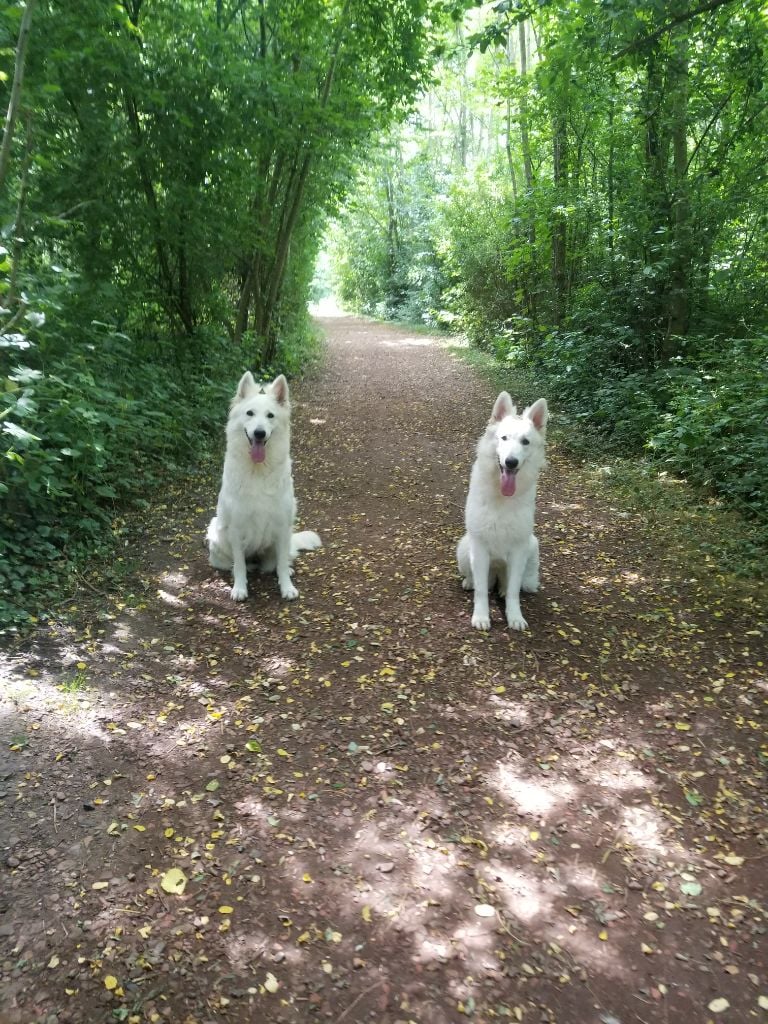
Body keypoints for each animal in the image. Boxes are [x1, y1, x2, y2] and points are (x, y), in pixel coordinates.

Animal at [207, 371, 321, 602]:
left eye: (270, 416)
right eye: (249, 413)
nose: (259, 433)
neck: (258, 471)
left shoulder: (282, 525)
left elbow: (281, 567)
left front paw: (287, 587)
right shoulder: (236, 528)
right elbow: (240, 565)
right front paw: (240, 588)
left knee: (277, 563)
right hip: (216, 535)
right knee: (232, 564)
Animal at [457, 392, 548, 631]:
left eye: (525, 441)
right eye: (504, 438)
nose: (511, 462)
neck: (502, 497)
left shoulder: (518, 548)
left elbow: (514, 591)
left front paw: (515, 617)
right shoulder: (479, 547)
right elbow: (481, 591)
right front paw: (481, 617)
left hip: (532, 546)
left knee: (511, 585)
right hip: (464, 547)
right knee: (479, 582)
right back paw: (469, 582)